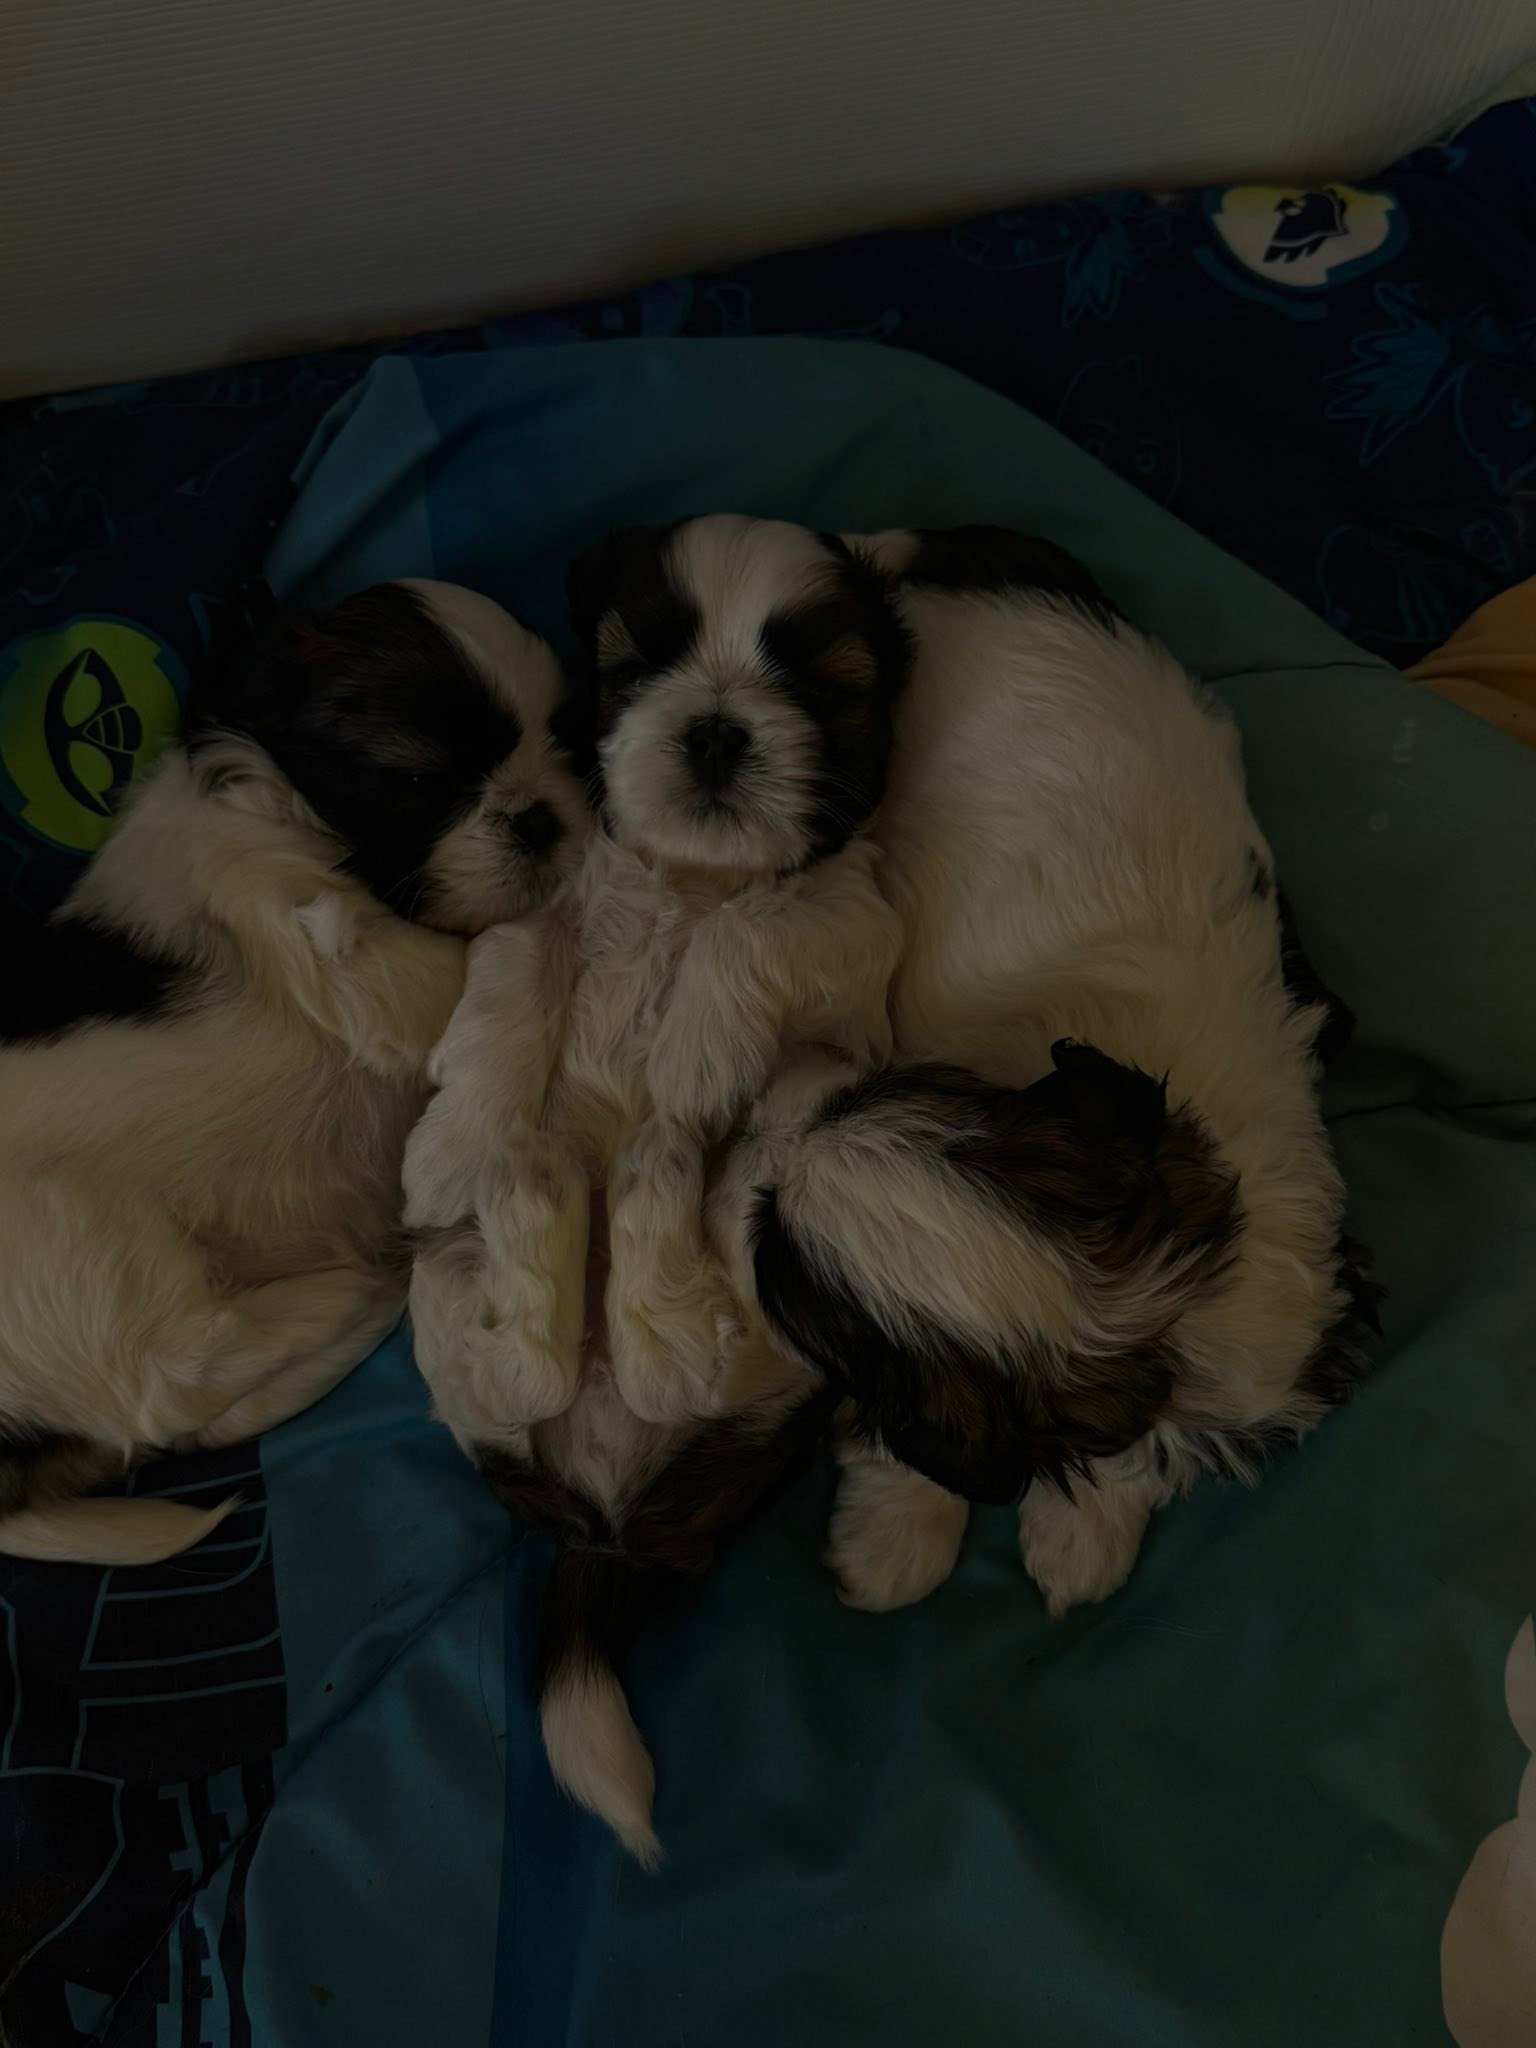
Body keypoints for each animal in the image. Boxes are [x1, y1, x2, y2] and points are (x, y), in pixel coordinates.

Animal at [0, 579, 584, 1564]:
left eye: (557, 732)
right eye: (416, 780)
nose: (540, 816)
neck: (285, 813)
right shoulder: (355, 963)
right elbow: (500, 947)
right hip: (74, 1251)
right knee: (174, 1378)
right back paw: (349, 1294)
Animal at [404, 514, 911, 1860]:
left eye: (818, 686)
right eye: (641, 663)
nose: (719, 727)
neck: (688, 877)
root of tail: (614, 1519)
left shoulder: (851, 935)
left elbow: (770, 923)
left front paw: (692, 1047)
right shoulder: (547, 908)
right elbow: (513, 970)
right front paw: (457, 1127)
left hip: (791, 1270)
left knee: (702, 1269)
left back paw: (659, 1254)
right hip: (450, 1305)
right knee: (517, 1361)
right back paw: (533, 1196)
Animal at [712, 525, 1378, 1621]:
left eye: (775, 1255)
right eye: (864, 1089)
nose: (752, 1123)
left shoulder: (1281, 1329)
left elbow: (1153, 1435)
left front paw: (1083, 1532)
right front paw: (897, 1542)